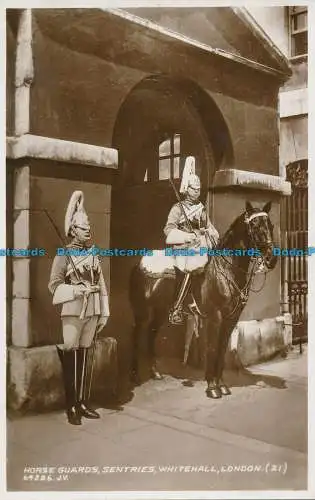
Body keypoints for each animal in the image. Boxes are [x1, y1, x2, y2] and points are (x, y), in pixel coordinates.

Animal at [128, 201, 276, 400]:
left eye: (271, 226)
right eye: (254, 225)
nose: (271, 259)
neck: (227, 270)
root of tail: (139, 264)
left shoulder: (231, 319)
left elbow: (221, 350)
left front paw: (222, 385)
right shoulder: (215, 318)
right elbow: (212, 349)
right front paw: (212, 387)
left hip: (161, 310)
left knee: (151, 333)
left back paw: (155, 372)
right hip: (142, 311)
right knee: (136, 336)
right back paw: (135, 376)